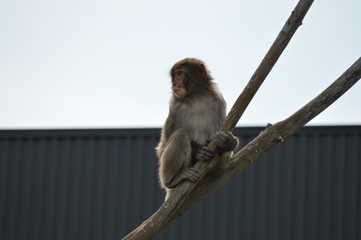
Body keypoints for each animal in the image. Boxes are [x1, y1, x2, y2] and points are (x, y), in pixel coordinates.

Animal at [155, 58, 238, 201]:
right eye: (174, 76)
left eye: (179, 74)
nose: (174, 83)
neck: (195, 97)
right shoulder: (174, 107)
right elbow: (161, 148)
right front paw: (198, 151)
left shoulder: (218, 101)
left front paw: (228, 141)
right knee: (181, 134)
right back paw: (173, 181)